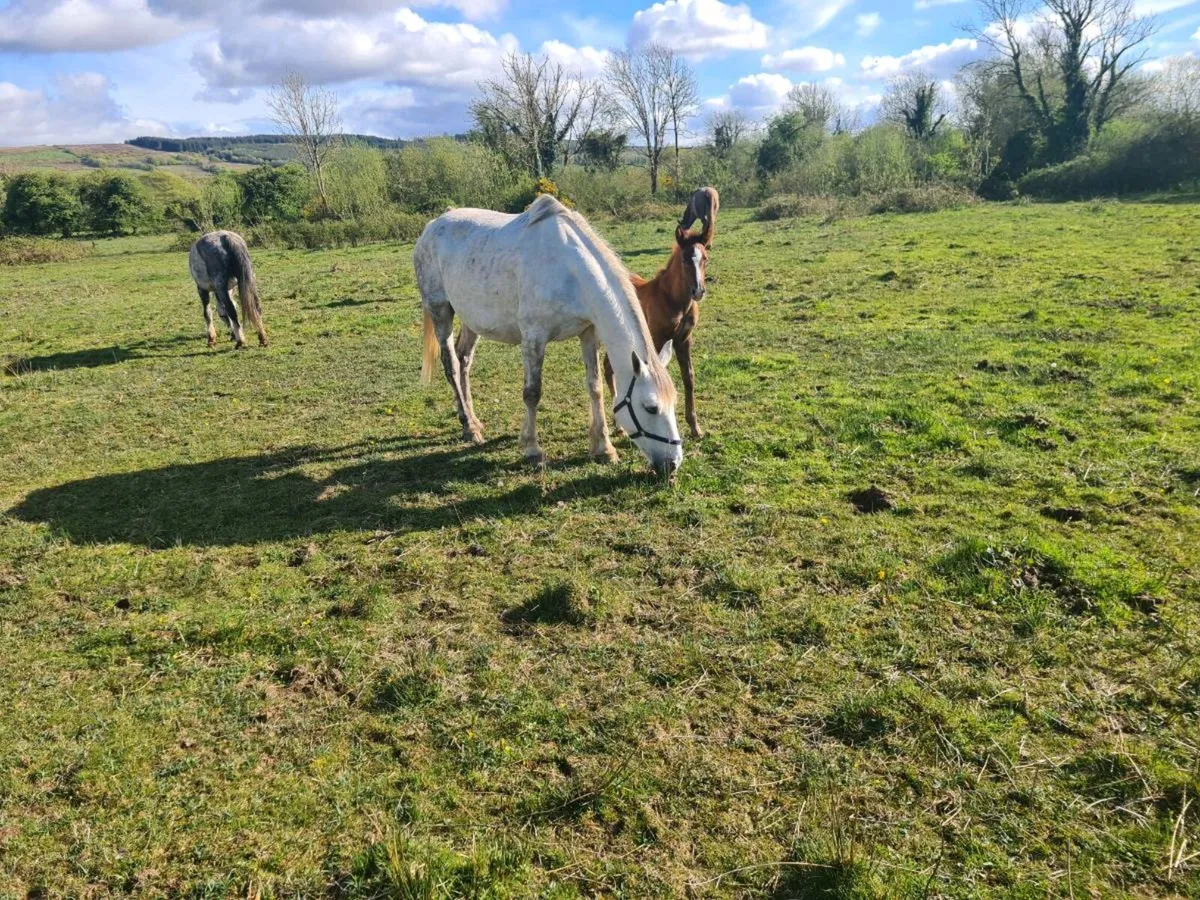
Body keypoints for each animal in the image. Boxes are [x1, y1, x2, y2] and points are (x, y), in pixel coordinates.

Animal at [414, 194, 684, 476]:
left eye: (674, 403)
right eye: (651, 407)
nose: (673, 464)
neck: (569, 270)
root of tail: (433, 225)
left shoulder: (588, 334)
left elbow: (595, 387)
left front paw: (604, 448)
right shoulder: (534, 338)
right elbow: (532, 393)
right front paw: (533, 450)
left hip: (473, 319)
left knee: (464, 359)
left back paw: (473, 420)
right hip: (441, 311)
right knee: (452, 365)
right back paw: (469, 427)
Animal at [605, 225, 708, 440]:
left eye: (705, 258)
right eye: (685, 259)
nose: (698, 291)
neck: (672, 299)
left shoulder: (683, 340)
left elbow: (689, 377)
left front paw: (695, 428)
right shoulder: (657, 339)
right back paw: (619, 426)